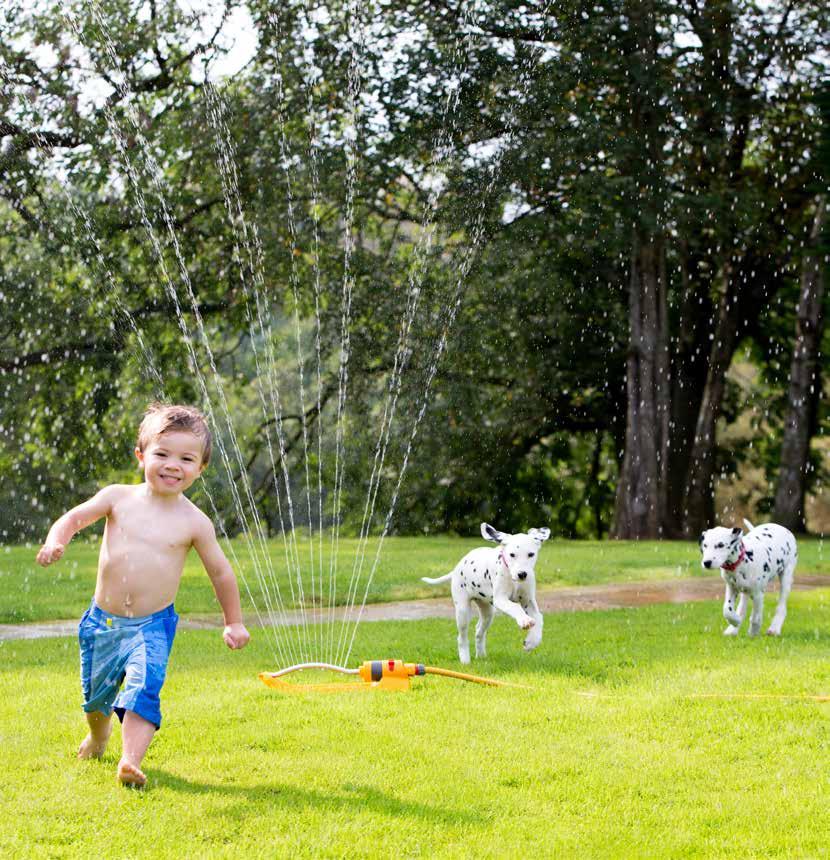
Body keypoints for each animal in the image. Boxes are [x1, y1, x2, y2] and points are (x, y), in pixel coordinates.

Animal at [422, 520, 552, 660]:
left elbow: (539, 618)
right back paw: (465, 660)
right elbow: (515, 607)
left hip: (488, 613)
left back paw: (481, 656)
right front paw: (524, 620)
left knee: (479, 631)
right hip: (462, 611)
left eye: (531, 554)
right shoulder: (500, 599)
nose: (522, 574)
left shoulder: (528, 601)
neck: (513, 579)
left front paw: (532, 641)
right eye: (512, 555)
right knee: (462, 637)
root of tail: (457, 568)